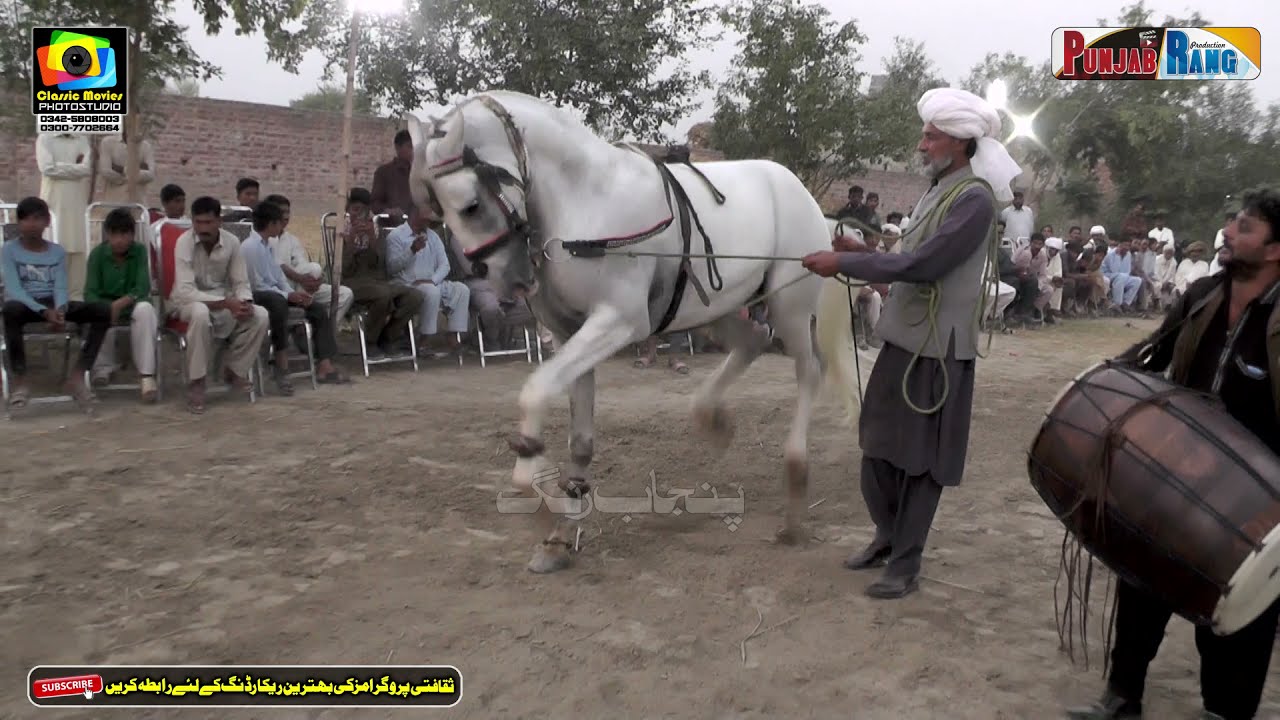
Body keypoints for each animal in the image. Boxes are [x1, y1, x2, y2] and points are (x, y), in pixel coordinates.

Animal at [404, 90, 863, 574]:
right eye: (435, 208)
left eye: (471, 204)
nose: (510, 282)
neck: (586, 201)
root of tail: (807, 198)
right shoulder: (570, 333)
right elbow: (580, 439)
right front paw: (560, 536)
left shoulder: (619, 320)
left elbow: (535, 391)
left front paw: (537, 486)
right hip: (720, 307)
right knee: (752, 344)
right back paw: (713, 420)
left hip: (790, 308)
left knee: (808, 370)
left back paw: (794, 492)